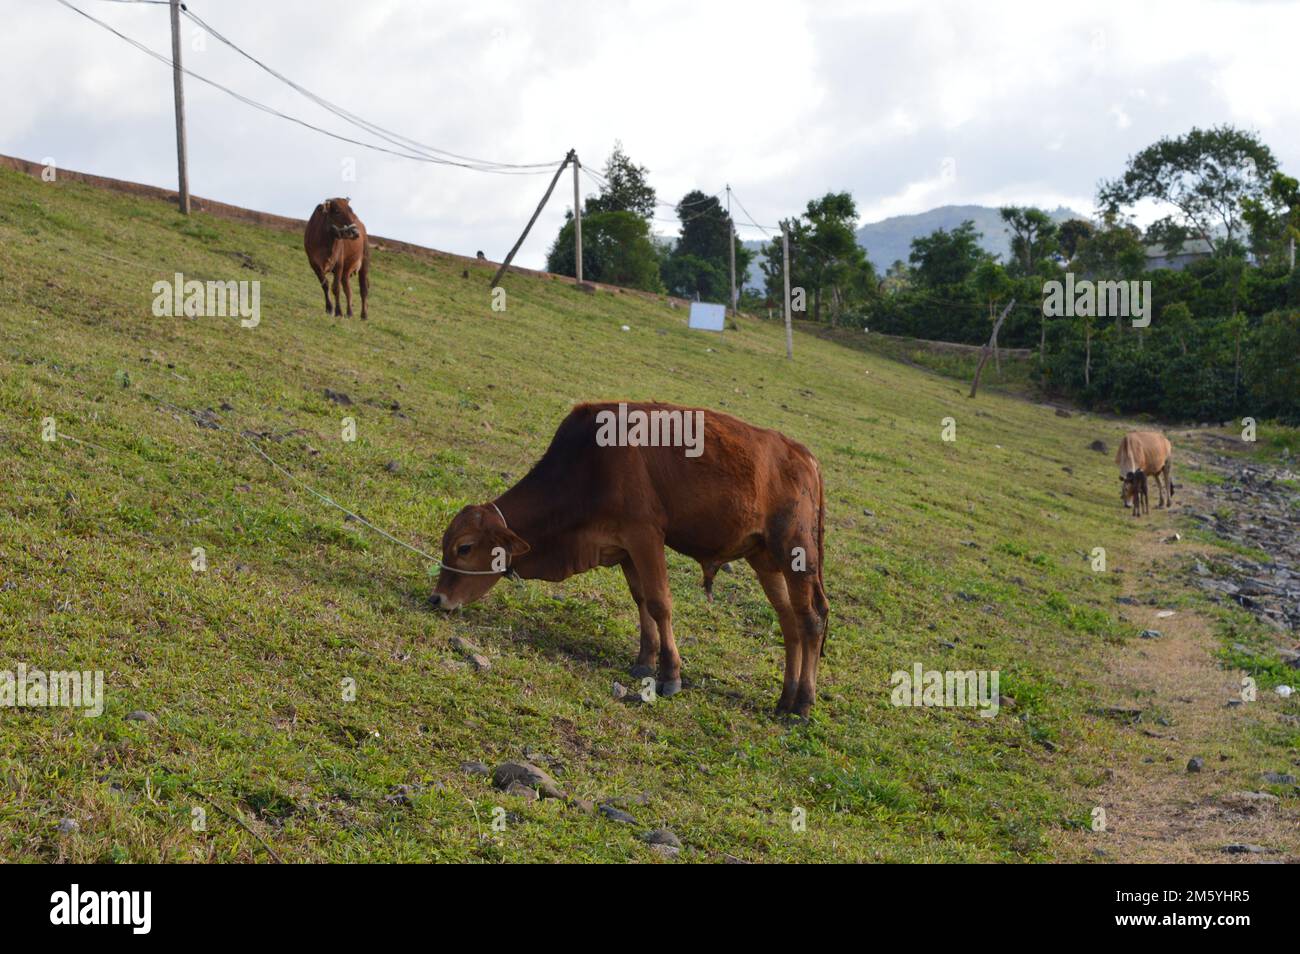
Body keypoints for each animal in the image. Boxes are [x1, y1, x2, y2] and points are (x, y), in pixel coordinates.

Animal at [429, 402, 830, 717]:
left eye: (464, 547)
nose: (437, 598)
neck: (589, 462)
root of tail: (804, 456)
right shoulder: (625, 548)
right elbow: (642, 602)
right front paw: (644, 661)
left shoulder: (645, 536)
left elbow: (660, 603)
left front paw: (671, 675)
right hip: (765, 560)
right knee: (790, 622)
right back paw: (785, 699)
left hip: (795, 554)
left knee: (810, 620)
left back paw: (803, 705)